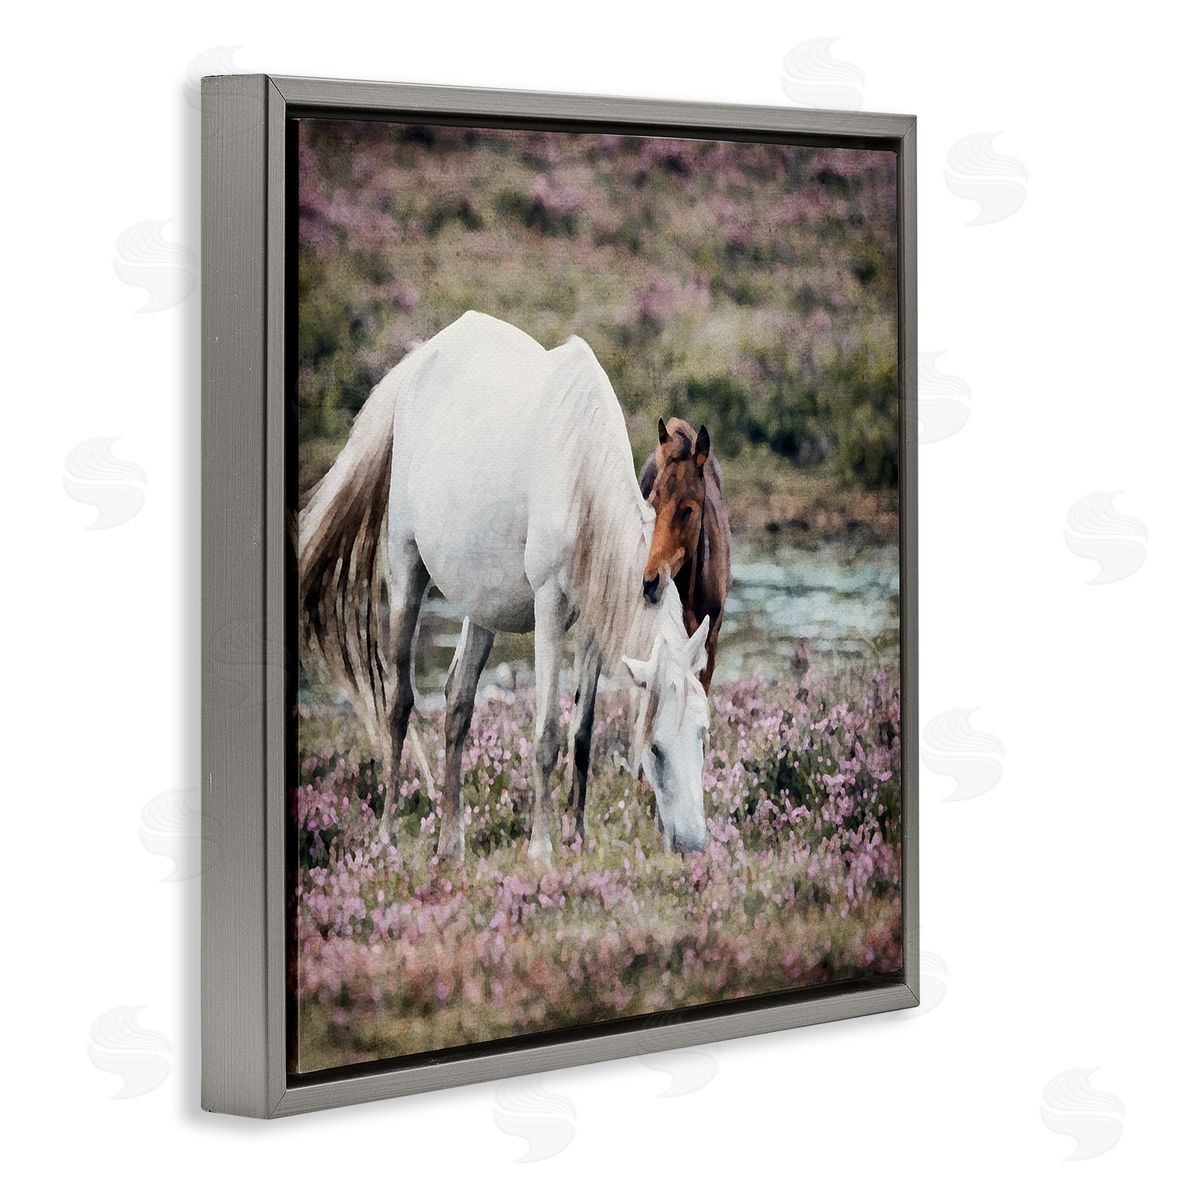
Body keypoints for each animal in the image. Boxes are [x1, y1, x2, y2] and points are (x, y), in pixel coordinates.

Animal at [299, 311, 711, 865]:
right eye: (657, 748)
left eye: (703, 733)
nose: (694, 845)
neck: (580, 478)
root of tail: (419, 362)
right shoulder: (549, 609)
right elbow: (547, 734)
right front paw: (542, 848)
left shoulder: (593, 622)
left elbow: (582, 732)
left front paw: (577, 836)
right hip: (406, 570)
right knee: (399, 703)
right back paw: (386, 836)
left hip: (483, 604)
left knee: (457, 701)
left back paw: (451, 843)